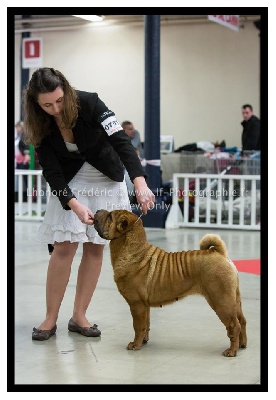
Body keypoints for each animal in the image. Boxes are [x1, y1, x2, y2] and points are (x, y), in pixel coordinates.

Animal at [94, 209, 247, 356]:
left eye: (110, 216)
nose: (96, 211)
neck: (133, 252)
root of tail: (220, 254)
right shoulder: (144, 306)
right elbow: (146, 325)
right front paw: (143, 341)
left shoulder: (137, 304)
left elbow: (138, 326)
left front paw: (135, 345)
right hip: (234, 300)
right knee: (242, 320)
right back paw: (242, 345)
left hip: (221, 300)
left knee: (234, 325)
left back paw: (231, 351)